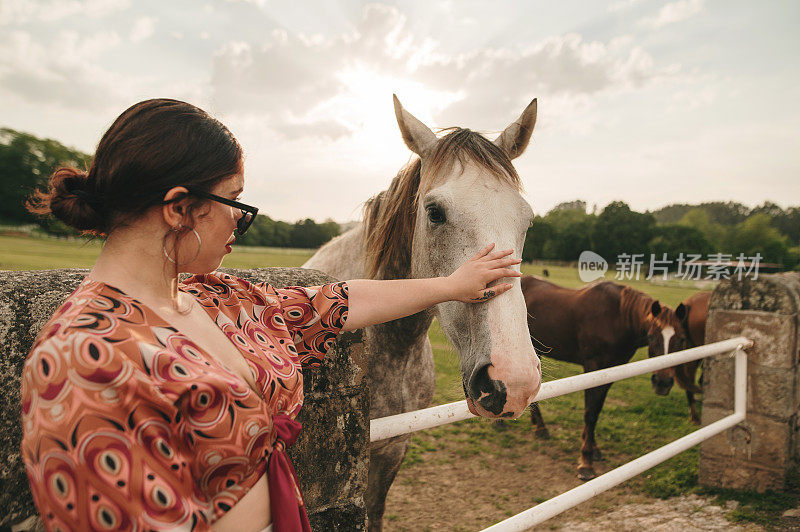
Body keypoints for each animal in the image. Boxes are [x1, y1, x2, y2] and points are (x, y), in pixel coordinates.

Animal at [520, 276, 684, 480]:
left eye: (681, 339)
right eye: (652, 337)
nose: (663, 383)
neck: (617, 317)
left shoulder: (609, 371)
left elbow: (596, 410)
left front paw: (593, 448)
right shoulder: (593, 366)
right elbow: (590, 413)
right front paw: (585, 462)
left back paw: (539, 427)